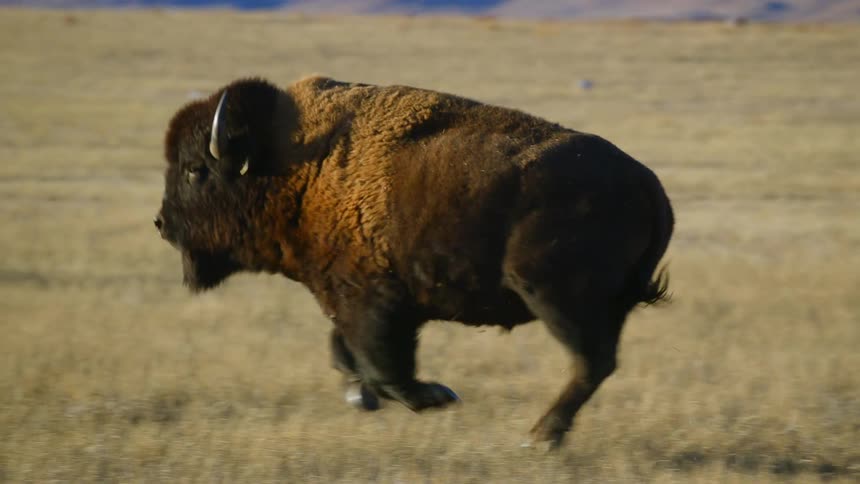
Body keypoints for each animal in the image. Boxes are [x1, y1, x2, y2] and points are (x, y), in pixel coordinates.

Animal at [155, 76, 674, 448]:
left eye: (195, 170)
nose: (161, 223)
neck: (298, 166)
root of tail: (648, 185)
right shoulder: (361, 303)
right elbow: (346, 352)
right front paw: (361, 394)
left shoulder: (370, 302)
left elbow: (382, 364)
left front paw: (437, 397)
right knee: (597, 364)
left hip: (554, 298)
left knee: (589, 362)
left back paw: (540, 437)